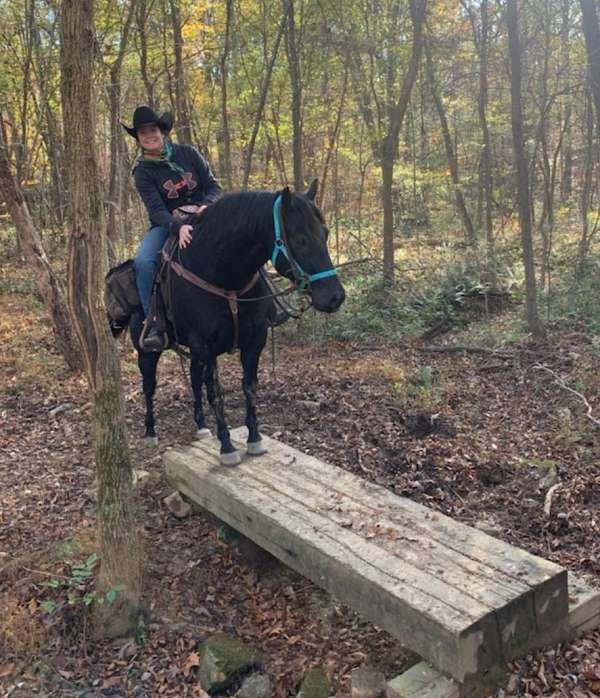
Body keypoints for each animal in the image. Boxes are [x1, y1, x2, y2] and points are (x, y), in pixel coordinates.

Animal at [122, 180, 345, 465]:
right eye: (301, 239)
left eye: (325, 233)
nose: (335, 297)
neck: (223, 275)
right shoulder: (204, 344)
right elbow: (217, 392)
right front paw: (227, 447)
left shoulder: (254, 339)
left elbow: (248, 387)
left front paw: (254, 439)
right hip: (148, 352)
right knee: (149, 386)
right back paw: (151, 432)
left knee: (195, 381)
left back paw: (202, 426)